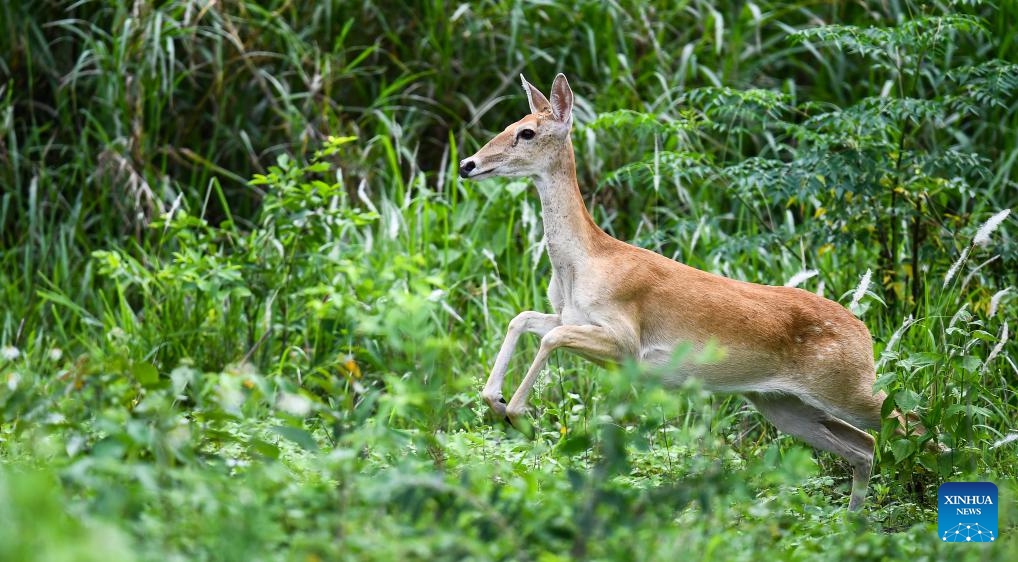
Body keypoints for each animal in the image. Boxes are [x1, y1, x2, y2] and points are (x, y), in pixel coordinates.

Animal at [459, 73, 920, 511]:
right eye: (507, 124)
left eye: (527, 132)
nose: (467, 164)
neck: (581, 265)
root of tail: (865, 333)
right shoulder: (571, 315)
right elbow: (522, 319)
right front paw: (495, 399)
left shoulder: (626, 338)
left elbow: (550, 337)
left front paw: (517, 413)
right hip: (783, 403)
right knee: (865, 446)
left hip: (847, 386)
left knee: (905, 421)